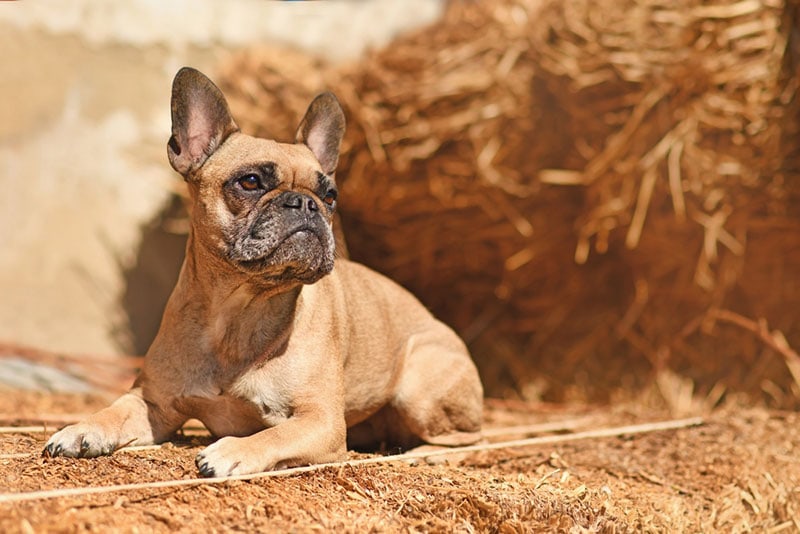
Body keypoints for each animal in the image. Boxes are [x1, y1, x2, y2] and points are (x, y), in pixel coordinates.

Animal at [43, 67, 484, 478]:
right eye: (251, 181)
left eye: (330, 195)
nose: (305, 203)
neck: (238, 312)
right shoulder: (152, 403)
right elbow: (114, 410)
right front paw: (80, 428)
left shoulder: (320, 421)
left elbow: (275, 434)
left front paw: (233, 450)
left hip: (419, 387)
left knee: (466, 441)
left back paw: (417, 454)